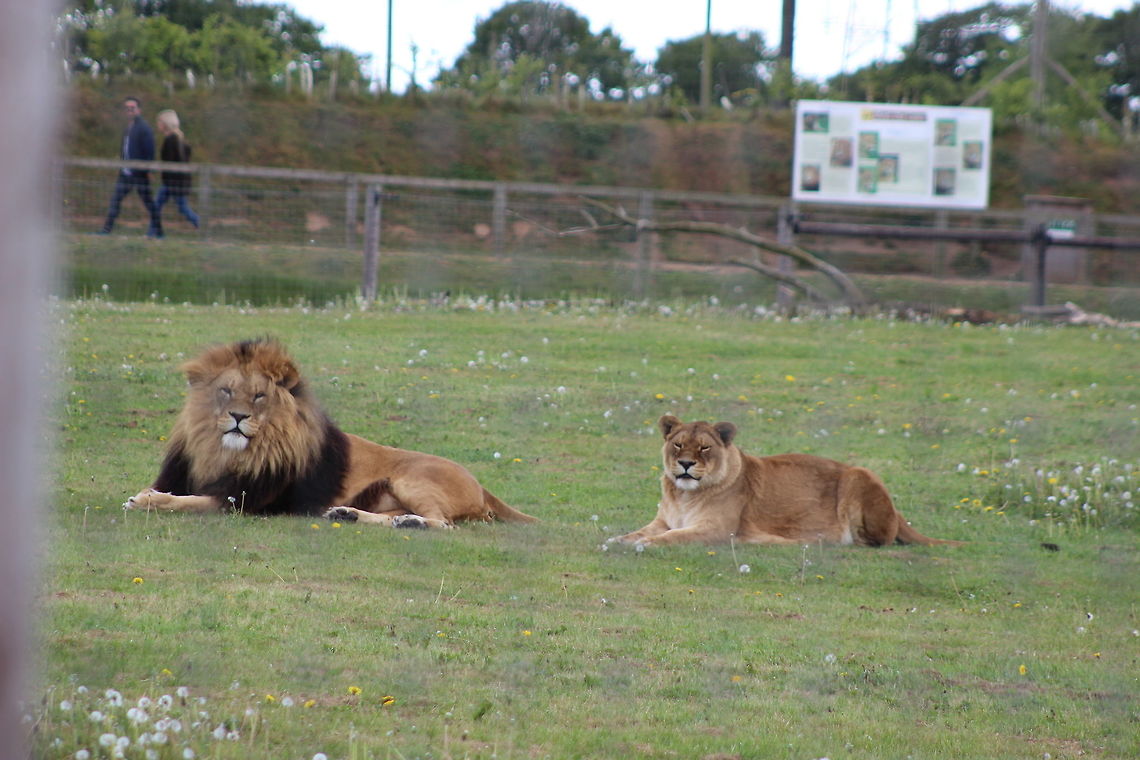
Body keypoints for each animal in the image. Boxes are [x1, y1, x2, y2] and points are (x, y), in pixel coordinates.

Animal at [125, 338, 537, 529]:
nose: (238, 417)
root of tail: (481, 485)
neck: (225, 450)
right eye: (225, 391)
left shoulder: (242, 501)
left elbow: (186, 502)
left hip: (413, 479)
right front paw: (148, 494)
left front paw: (145, 501)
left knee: (444, 524)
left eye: (259, 396)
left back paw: (412, 523)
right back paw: (350, 514)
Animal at [615, 415, 961, 547]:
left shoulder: (715, 529)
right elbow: (640, 531)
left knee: (875, 542)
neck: (684, 495)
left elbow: (671, 537)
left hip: (859, 474)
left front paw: (644, 544)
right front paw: (619, 540)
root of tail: (897, 513)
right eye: (678, 445)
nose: (686, 464)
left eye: (704, 448)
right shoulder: (663, 520)